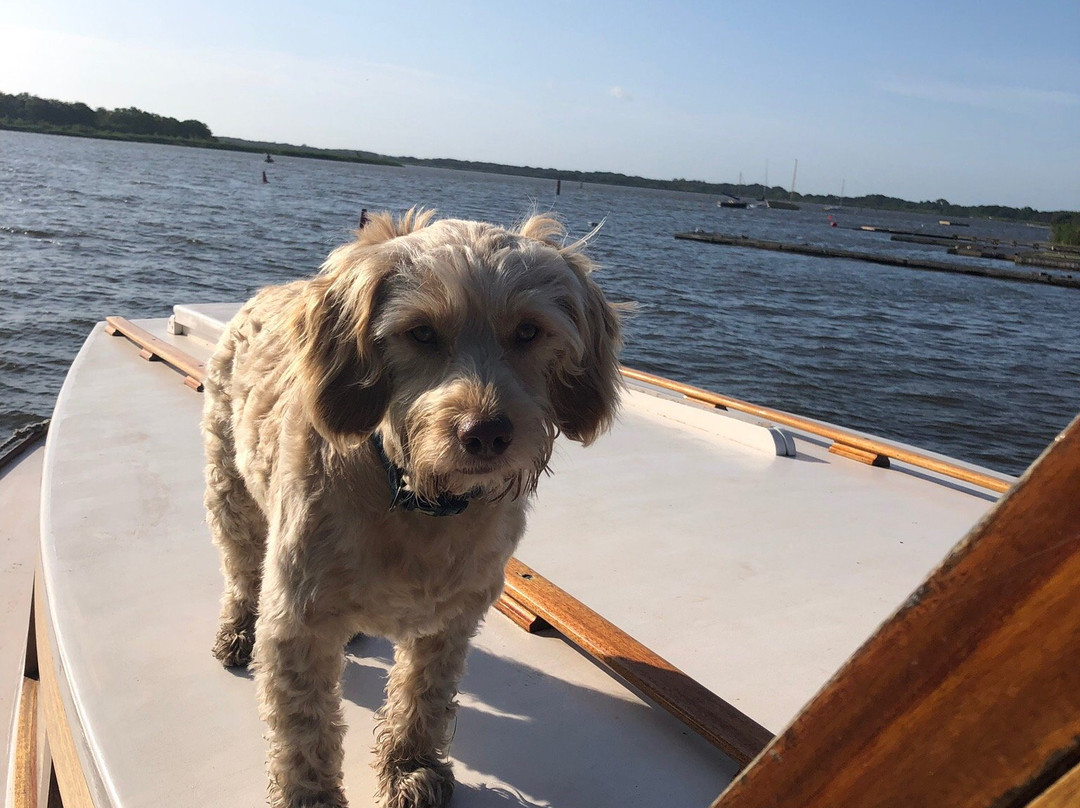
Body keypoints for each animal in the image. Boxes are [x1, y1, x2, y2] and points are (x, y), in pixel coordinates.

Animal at [201, 209, 622, 808]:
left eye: (528, 331)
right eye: (421, 331)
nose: (486, 433)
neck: (417, 500)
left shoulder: (452, 618)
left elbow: (424, 695)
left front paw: (410, 767)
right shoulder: (296, 622)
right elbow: (303, 729)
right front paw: (311, 797)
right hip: (229, 492)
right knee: (240, 569)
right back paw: (237, 628)